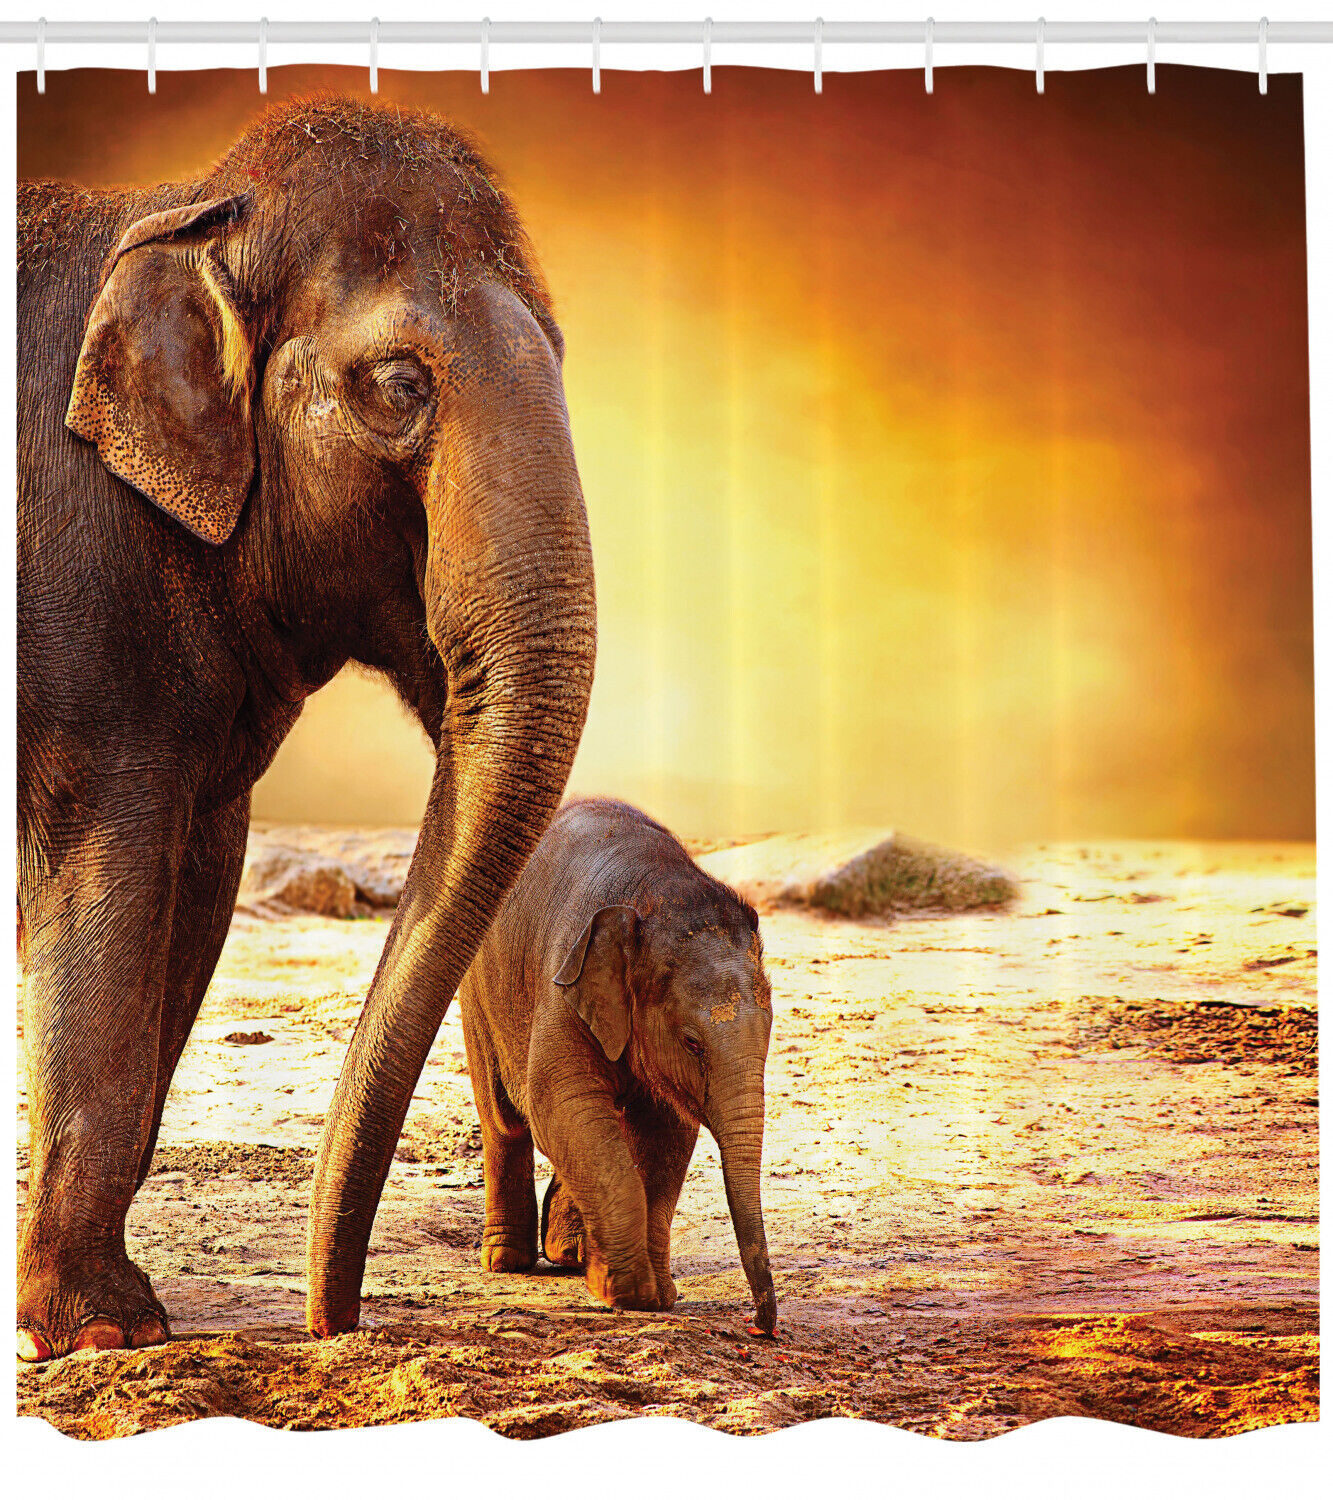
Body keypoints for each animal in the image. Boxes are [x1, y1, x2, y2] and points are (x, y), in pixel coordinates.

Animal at [16, 97, 596, 1360]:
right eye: (398, 385)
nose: (332, 1321)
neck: (185, 208)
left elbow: (192, 891)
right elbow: (104, 884)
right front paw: (99, 1336)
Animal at [456, 798, 778, 1334]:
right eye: (692, 1043)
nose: (761, 1323)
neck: (655, 889)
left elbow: (666, 1135)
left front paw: (656, 1294)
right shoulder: (564, 980)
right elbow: (560, 1106)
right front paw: (626, 1292)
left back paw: (568, 1253)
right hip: (479, 990)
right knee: (504, 1118)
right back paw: (507, 1261)